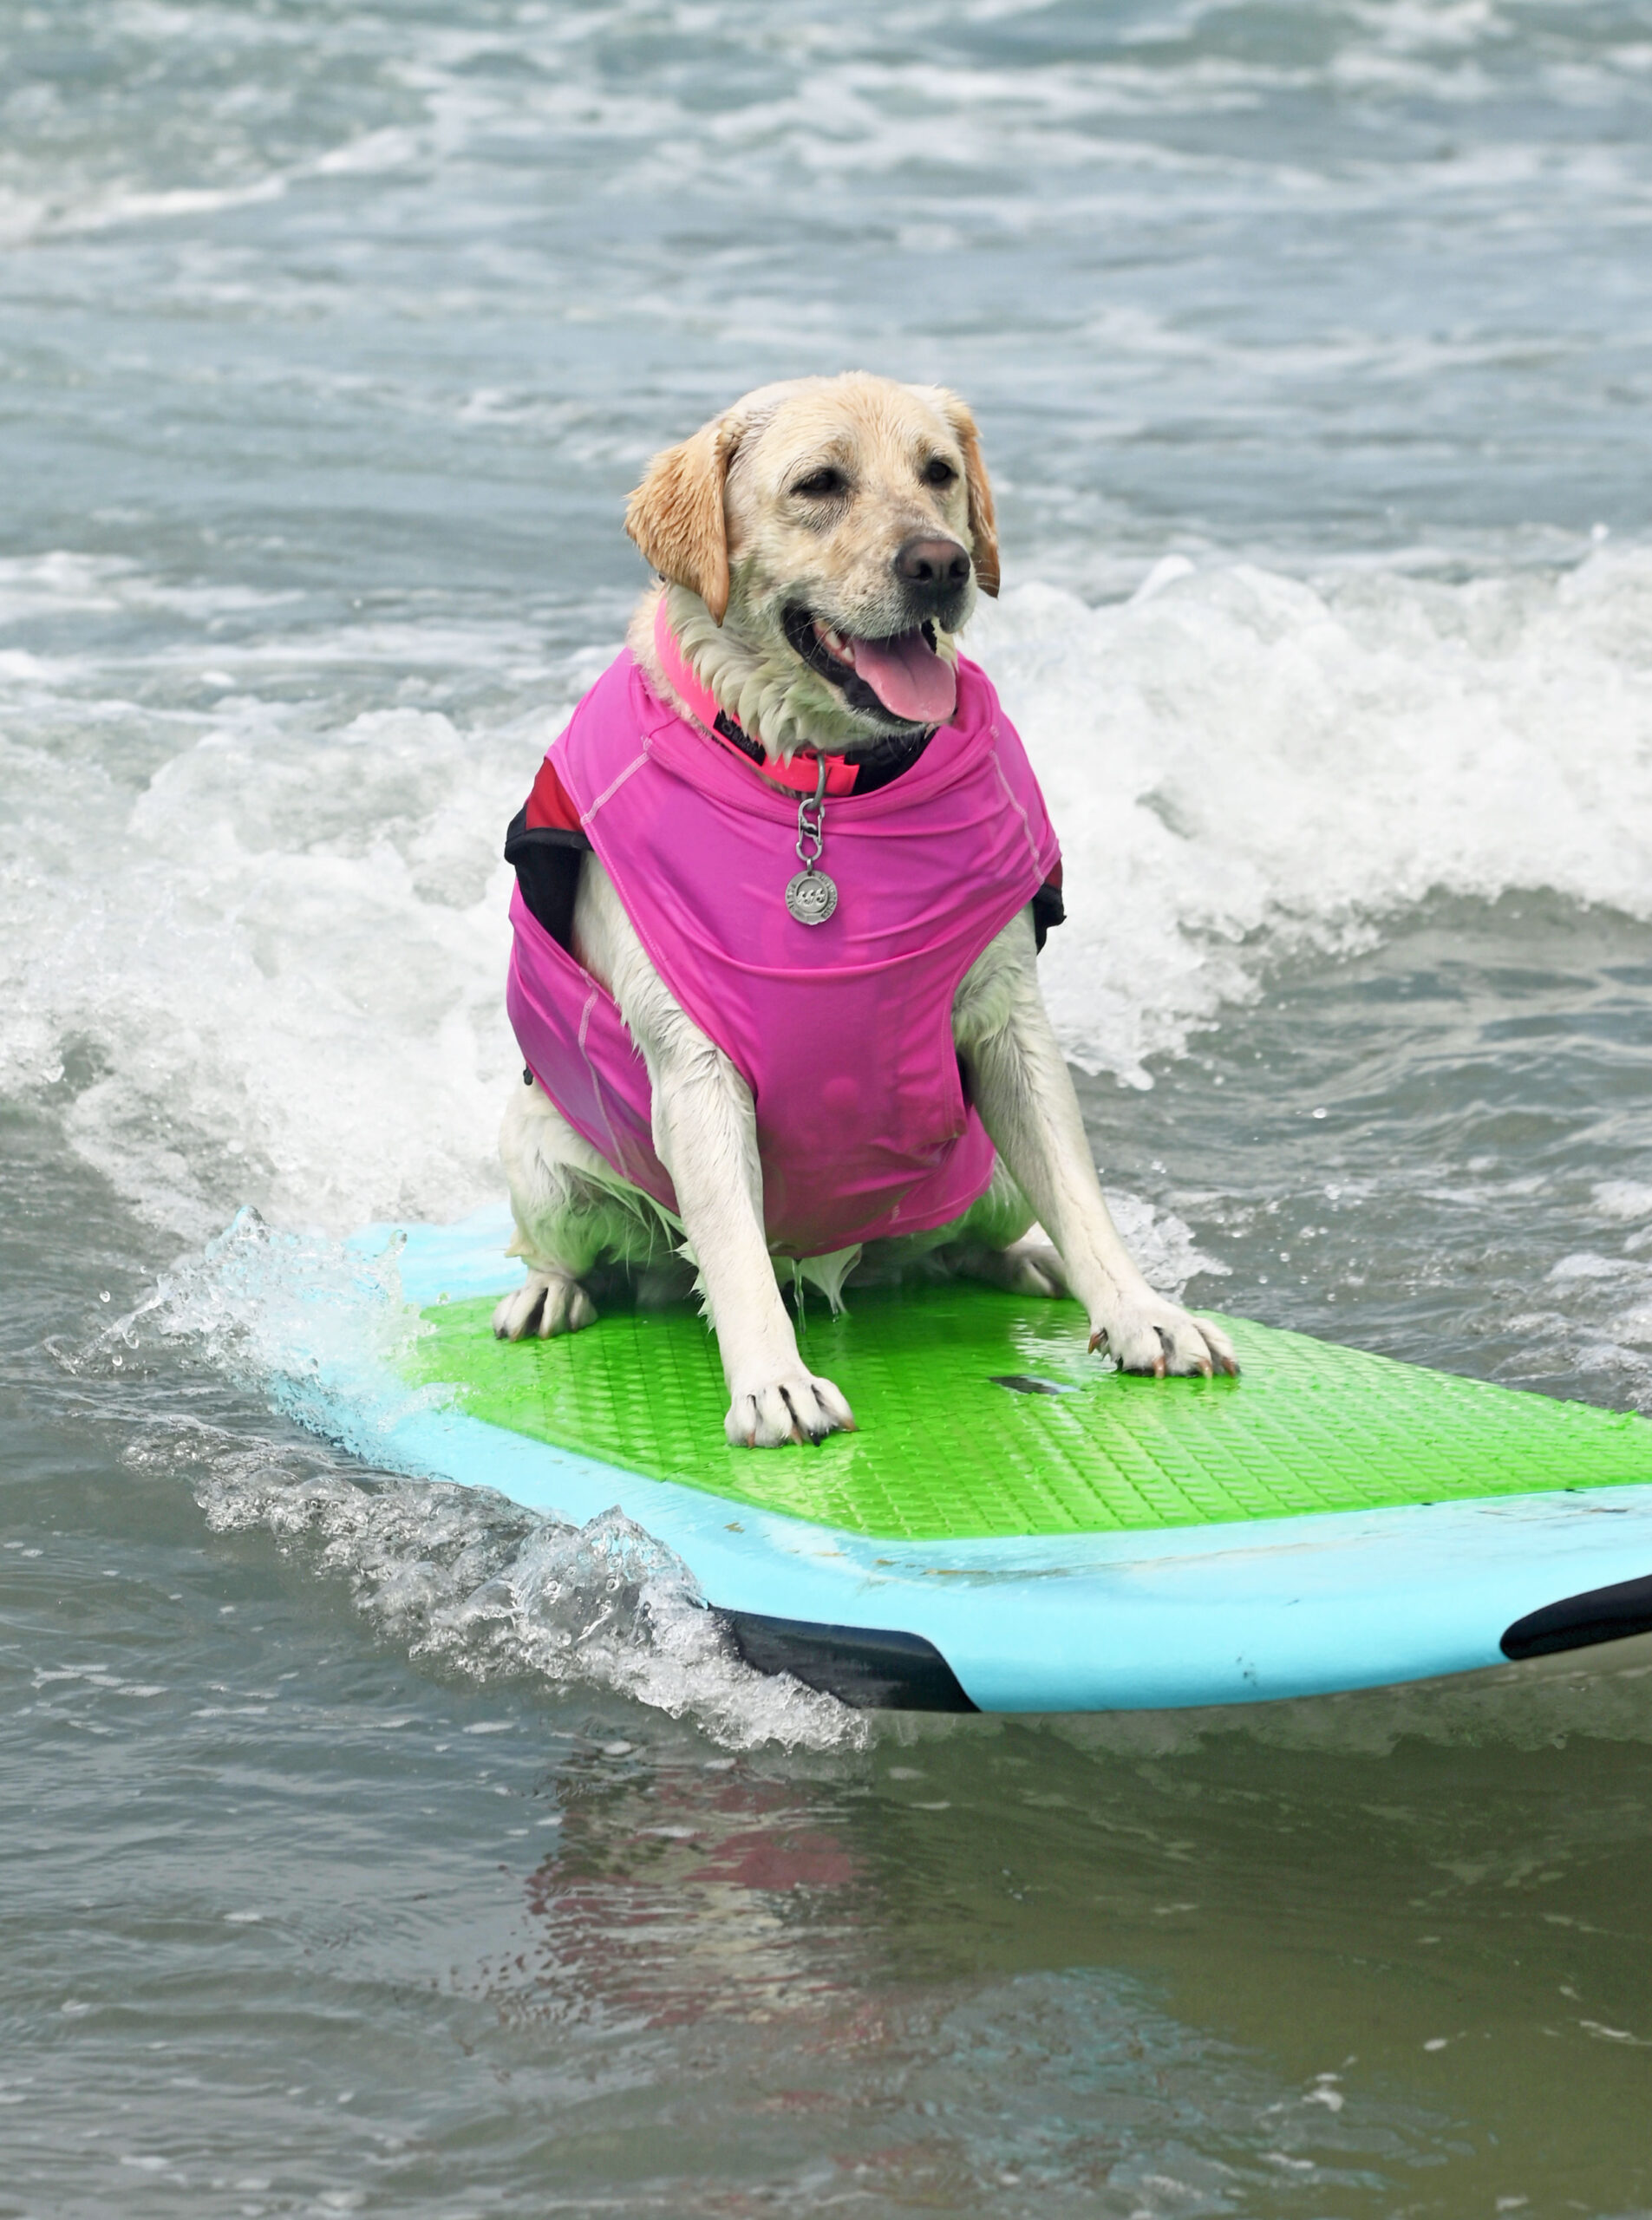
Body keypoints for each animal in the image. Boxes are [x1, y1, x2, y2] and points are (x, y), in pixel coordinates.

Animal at [497, 373, 1234, 1447]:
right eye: (819, 484)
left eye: (939, 472)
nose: (942, 564)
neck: (822, 784)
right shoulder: (695, 1066)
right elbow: (733, 1248)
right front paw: (774, 1383)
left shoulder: (1012, 1025)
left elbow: (1081, 1190)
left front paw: (1143, 1313)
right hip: (544, 1158)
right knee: (569, 1247)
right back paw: (550, 1292)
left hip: (987, 1174)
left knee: (976, 1239)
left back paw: (1030, 1265)